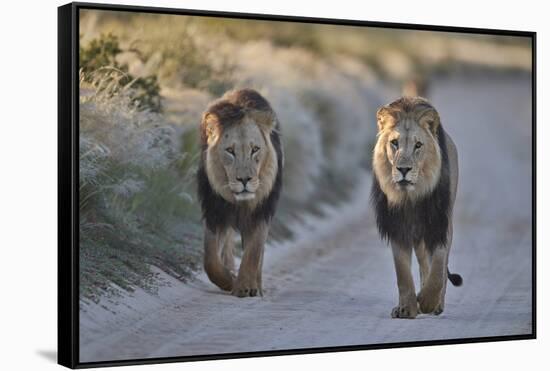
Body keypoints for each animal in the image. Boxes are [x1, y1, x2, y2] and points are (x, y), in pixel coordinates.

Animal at [198, 88, 284, 298]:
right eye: (230, 150)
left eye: (255, 149)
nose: (244, 180)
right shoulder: (215, 212)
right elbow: (210, 260)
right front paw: (229, 280)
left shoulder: (261, 212)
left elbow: (253, 252)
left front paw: (246, 286)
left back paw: (257, 286)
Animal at [374, 96, 464, 320]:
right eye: (394, 143)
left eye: (418, 145)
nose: (403, 169)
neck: (411, 197)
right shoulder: (397, 226)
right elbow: (403, 274)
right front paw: (407, 308)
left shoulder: (440, 223)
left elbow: (439, 266)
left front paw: (428, 301)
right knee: (423, 262)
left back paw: (435, 304)